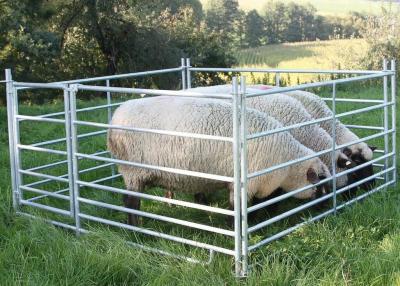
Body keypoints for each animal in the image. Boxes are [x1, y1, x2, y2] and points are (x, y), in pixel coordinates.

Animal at [107, 96, 332, 226]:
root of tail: (115, 117)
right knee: (130, 202)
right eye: (321, 183)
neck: (287, 161)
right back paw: (135, 229)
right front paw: (239, 226)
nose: (327, 209)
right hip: (133, 171)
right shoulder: (248, 183)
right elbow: (239, 210)